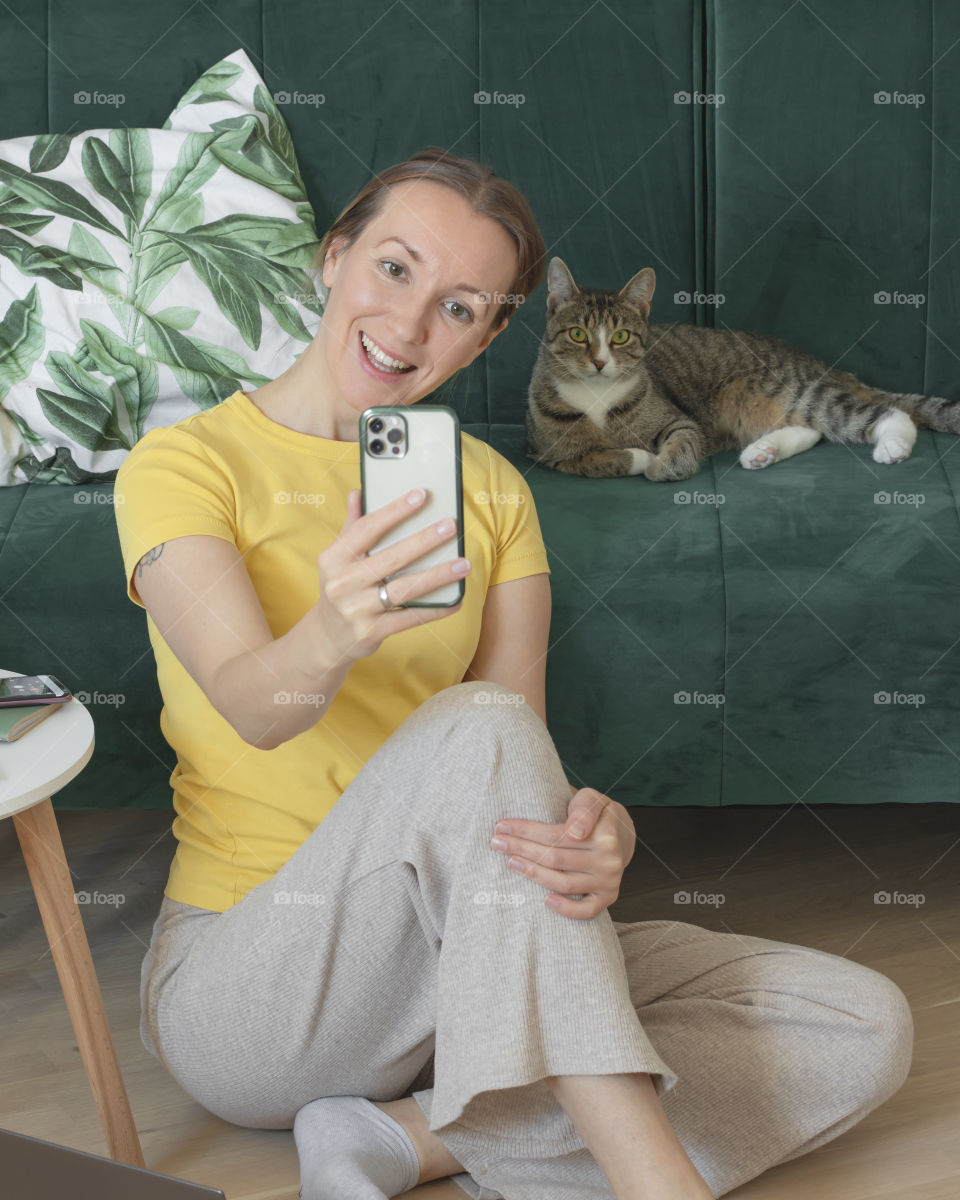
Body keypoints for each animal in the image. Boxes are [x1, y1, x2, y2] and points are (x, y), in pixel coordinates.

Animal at [525, 259, 960, 482]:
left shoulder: (679, 420)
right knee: (813, 429)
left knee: (885, 412)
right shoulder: (544, 454)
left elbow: (682, 443)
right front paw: (633, 457)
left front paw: (657, 463)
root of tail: (817, 363)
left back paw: (893, 445)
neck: (596, 395)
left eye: (619, 337)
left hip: (788, 390)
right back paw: (762, 452)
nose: (600, 362)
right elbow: (589, 461)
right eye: (578, 334)